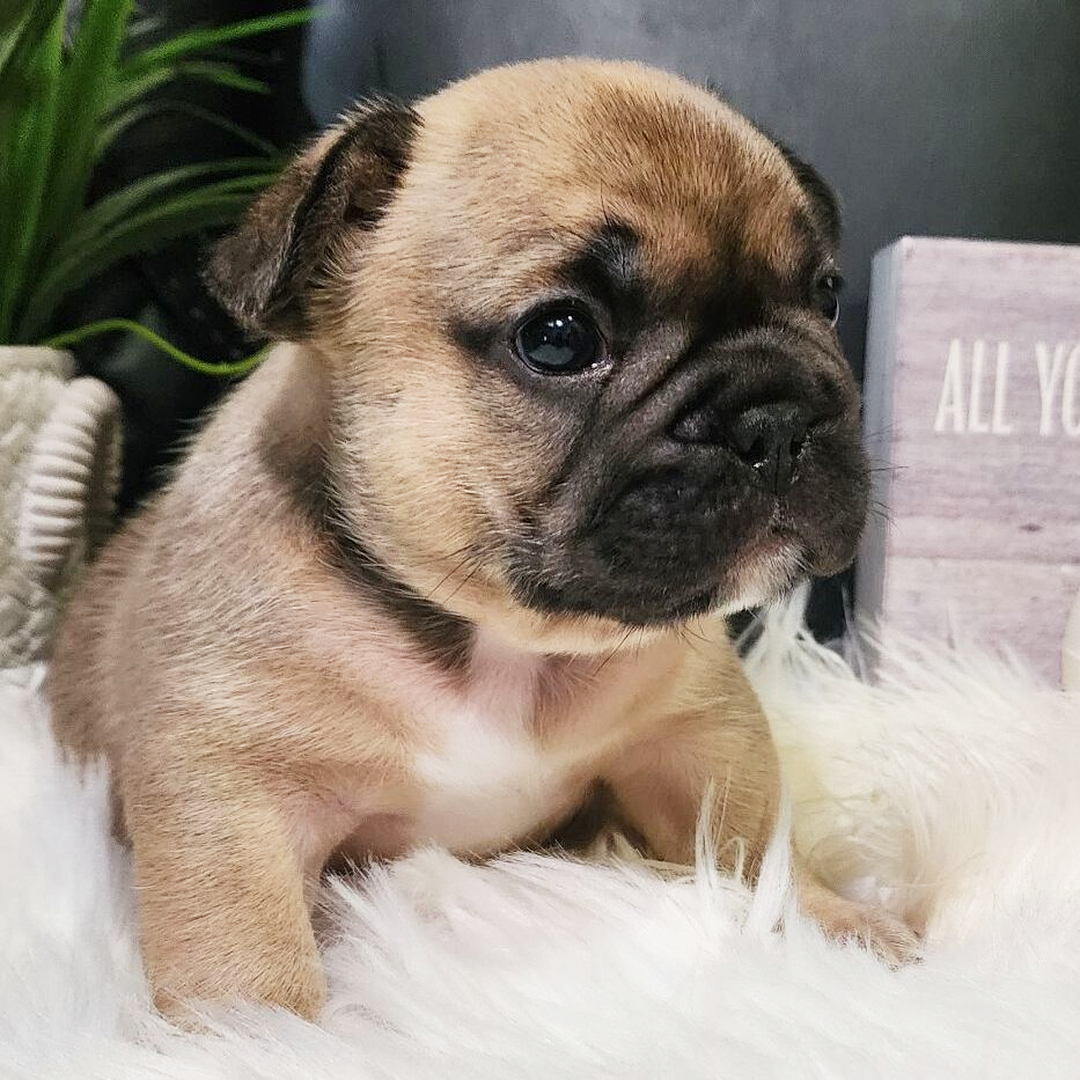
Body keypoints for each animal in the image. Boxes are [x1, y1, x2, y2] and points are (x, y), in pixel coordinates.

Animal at [48, 58, 918, 1020]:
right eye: (559, 338)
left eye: (825, 295)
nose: (777, 418)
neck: (500, 637)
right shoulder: (228, 793)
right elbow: (241, 960)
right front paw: (261, 1037)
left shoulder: (699, 730)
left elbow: (756, 841)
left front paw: (830, 925)